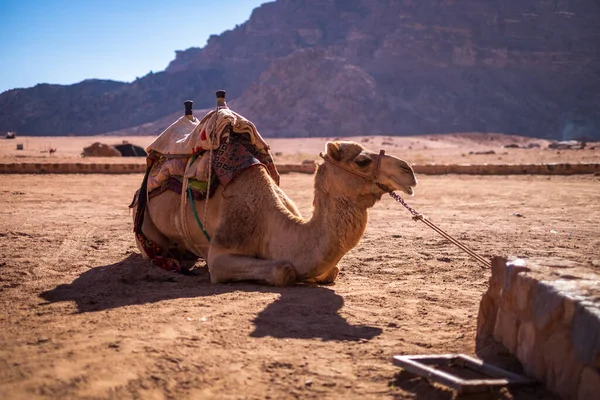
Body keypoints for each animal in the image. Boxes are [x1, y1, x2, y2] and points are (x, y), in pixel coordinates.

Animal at [134, 140, 418, 284]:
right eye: (362, 161)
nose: (409, 171)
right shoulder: (220, 254)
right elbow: (284, 270)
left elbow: (332, 270)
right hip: (147, 225)